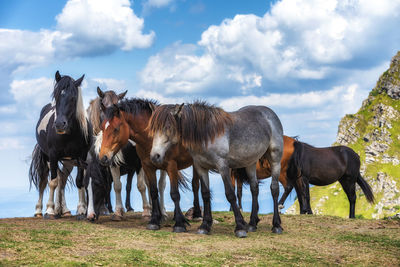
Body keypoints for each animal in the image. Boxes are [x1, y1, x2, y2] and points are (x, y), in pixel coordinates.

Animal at [28, 71, 91, 220]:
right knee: (45, 181)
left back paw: (64, 210)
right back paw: (40, 211)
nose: (59, 124)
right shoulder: (53, 155)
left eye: (73, 98)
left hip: (68, 161)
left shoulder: (82, 156)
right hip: (48, 159)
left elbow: (79, 181)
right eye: (56, 95)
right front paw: (50, 211)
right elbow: (53, 182)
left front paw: (81, 211)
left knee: (62, 179)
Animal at [86, 88, 165, 220]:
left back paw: (161, 211)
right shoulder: (112, 163)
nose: (91, 216)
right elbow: (117, 186)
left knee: (158, 185)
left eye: (97, 185)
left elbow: (141, 186)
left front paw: (146, 211)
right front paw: (118, 212)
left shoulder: (139, 164)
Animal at [98, 99, 202, 233]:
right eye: (102, 128)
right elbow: (152, 191)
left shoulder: (170, 165)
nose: (103, 157)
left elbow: (173, 193)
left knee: (192, 185)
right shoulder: (146, 166)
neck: (150, 137)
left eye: (116, 129)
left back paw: (195, 214)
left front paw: (179, 223)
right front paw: (154, 220)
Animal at [148, 102, 284, 239]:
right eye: (153, 129)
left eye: (168, 127)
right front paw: (204, 226)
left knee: (274, 189)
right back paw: (252, 223)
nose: (155, 156)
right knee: (254, 189)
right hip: (250, 162)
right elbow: (205, 194)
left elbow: (230, 194)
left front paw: (240, 227)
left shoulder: (223, 166)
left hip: (275, 159)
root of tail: (269, 113)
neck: (207, 134)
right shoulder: (201, 167)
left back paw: (276, 225)